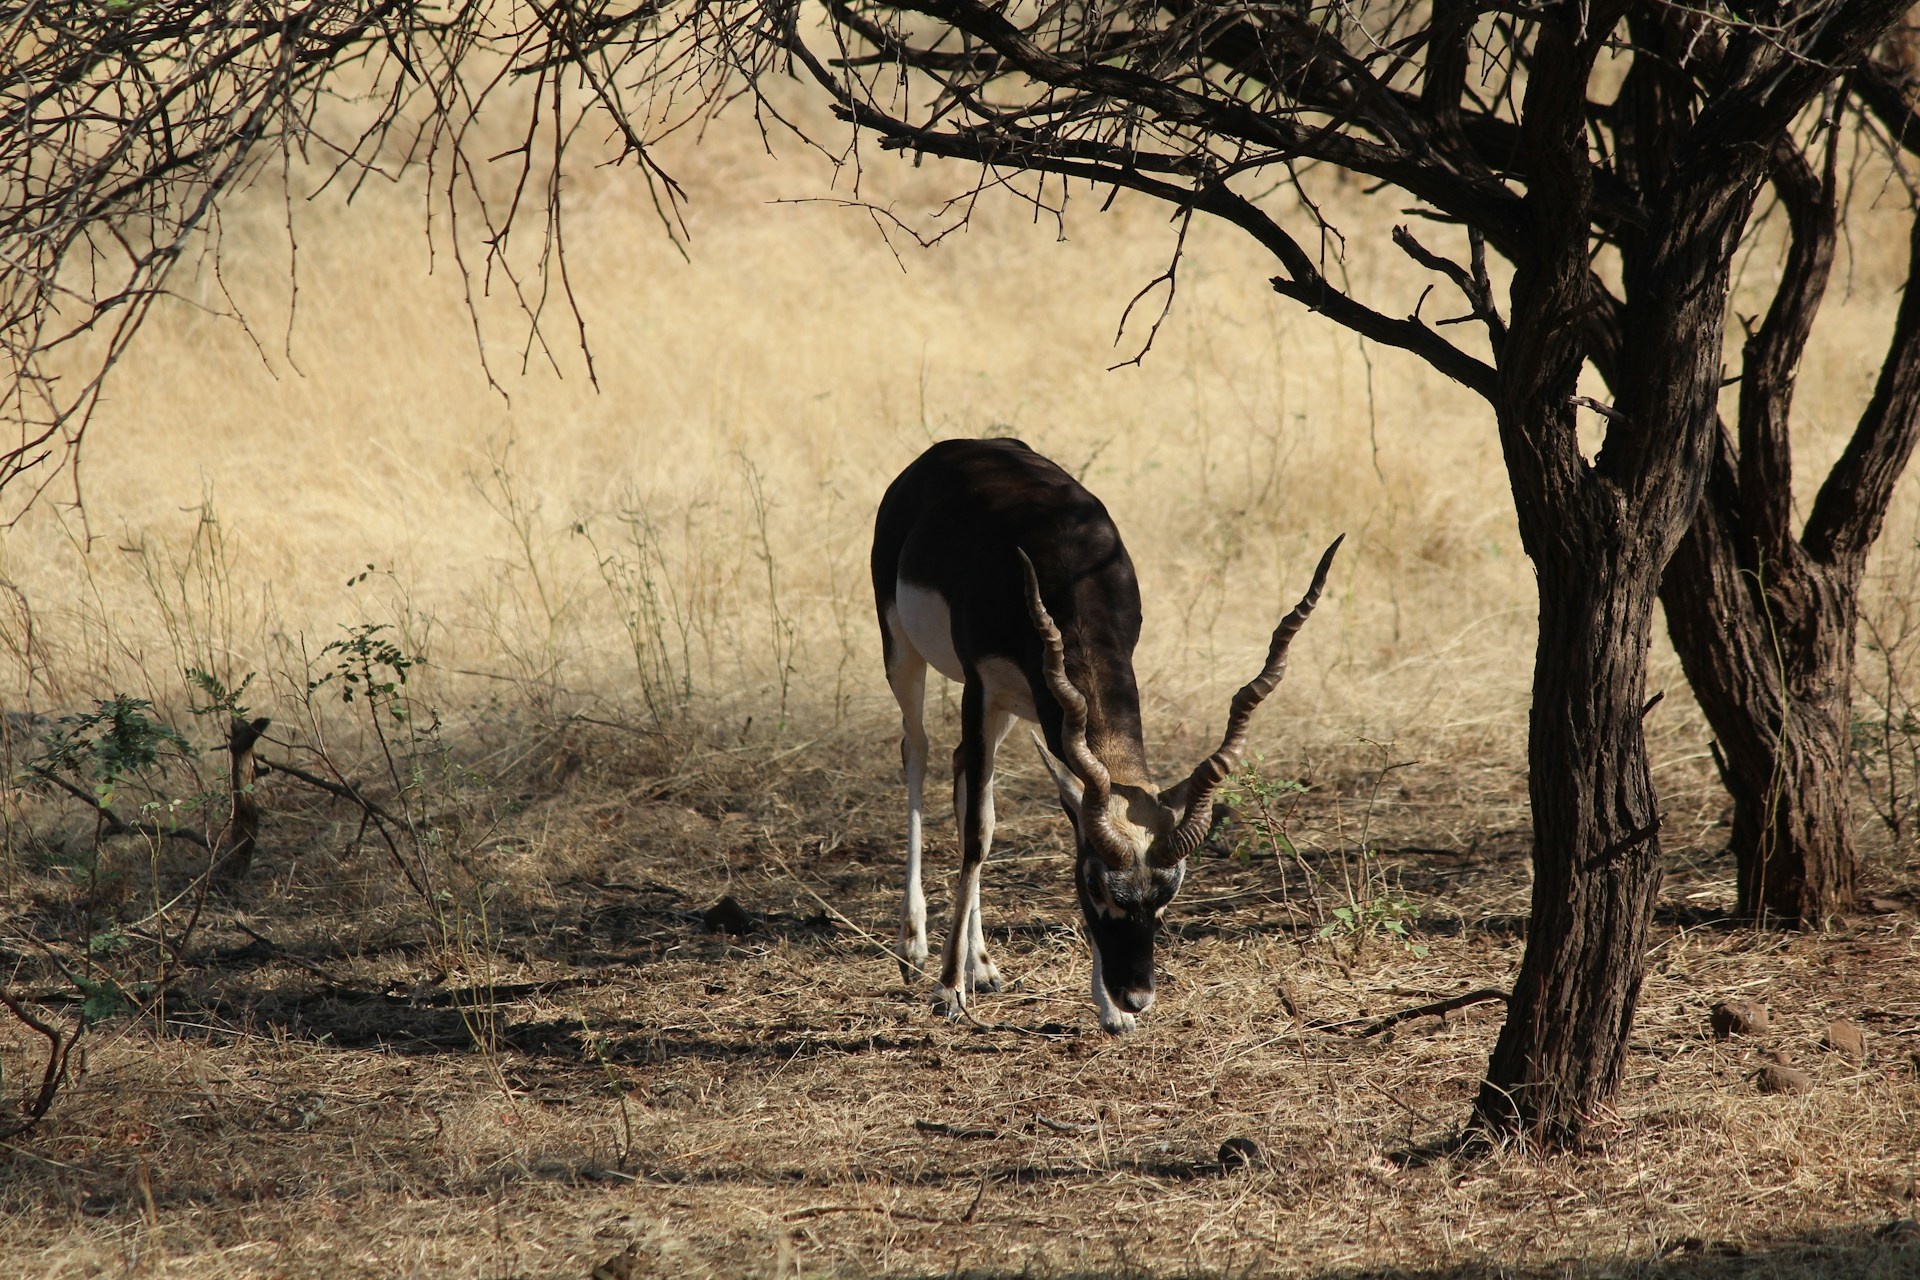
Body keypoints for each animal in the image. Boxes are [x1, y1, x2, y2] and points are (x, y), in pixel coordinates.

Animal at [879, 437, 1344, 1028]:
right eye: (1097, 887)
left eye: (1166, 898)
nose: (1137, 994)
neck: (1062, 562)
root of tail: (956, 447)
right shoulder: (979, 685)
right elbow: (979, 834)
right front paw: (947, 991)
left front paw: (1110, 1012)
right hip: (904, 649)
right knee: (917, 751)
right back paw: (913, 949)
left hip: (1011, 705)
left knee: (963, 765)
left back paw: (983, 965)